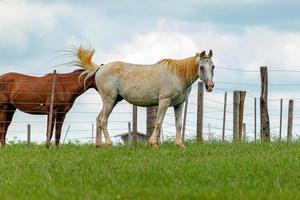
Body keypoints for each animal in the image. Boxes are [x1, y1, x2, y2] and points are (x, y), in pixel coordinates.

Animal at [72, 46, 214, 147]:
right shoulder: (164, 101)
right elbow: (158, 123)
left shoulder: (179, 104)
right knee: (103, 120)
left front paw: (180, 145)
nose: (210, 86)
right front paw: (153, 144)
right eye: (201, 67)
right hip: (109, 100)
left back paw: (98, 145)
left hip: (113, 101)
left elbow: (178, 124)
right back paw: (109, 144)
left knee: (98, 119)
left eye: (212, 66)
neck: (177, 74)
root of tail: (100, 68)